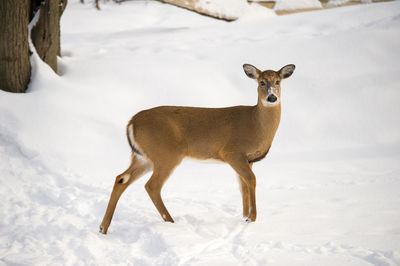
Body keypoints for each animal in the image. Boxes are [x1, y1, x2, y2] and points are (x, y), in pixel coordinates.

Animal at [99, 63, 294, 234]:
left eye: (278, 81)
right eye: (261, 82)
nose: (272, 97)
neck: (257, 124)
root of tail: (131, 122)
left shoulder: (248, 159)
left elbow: (243, 186)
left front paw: (244, 217)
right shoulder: (232, 152)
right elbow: (251, 180)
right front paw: (251, 218)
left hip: (143, 157)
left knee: (121, 179)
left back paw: (103, 228)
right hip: (166, 154)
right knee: (151, 186)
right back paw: (171, 222)